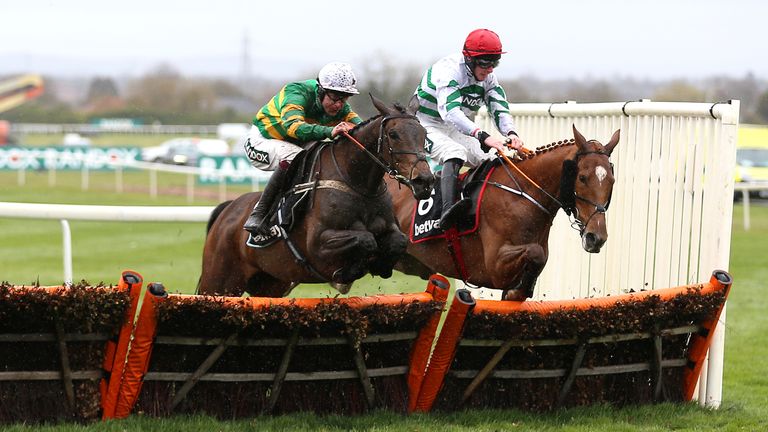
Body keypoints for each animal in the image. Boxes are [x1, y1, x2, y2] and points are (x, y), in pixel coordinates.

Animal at [198, 95, 436, 296]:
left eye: (424, 135)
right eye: (393, 135)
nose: (424, 180)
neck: (358, 185)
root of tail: (228, 209)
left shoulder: (391, 230)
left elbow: (399, 241)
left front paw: (381, 265)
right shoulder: (318, 245)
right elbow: (365, 239)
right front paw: (347, 274)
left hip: (270, 283)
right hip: (219, 282)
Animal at [388, 125, 620, 300]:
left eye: (611, 180)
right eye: (582, 177)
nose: (596, 237)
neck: (523, 194)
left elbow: (537, 260)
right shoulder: (494, 268)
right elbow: (535, 252)